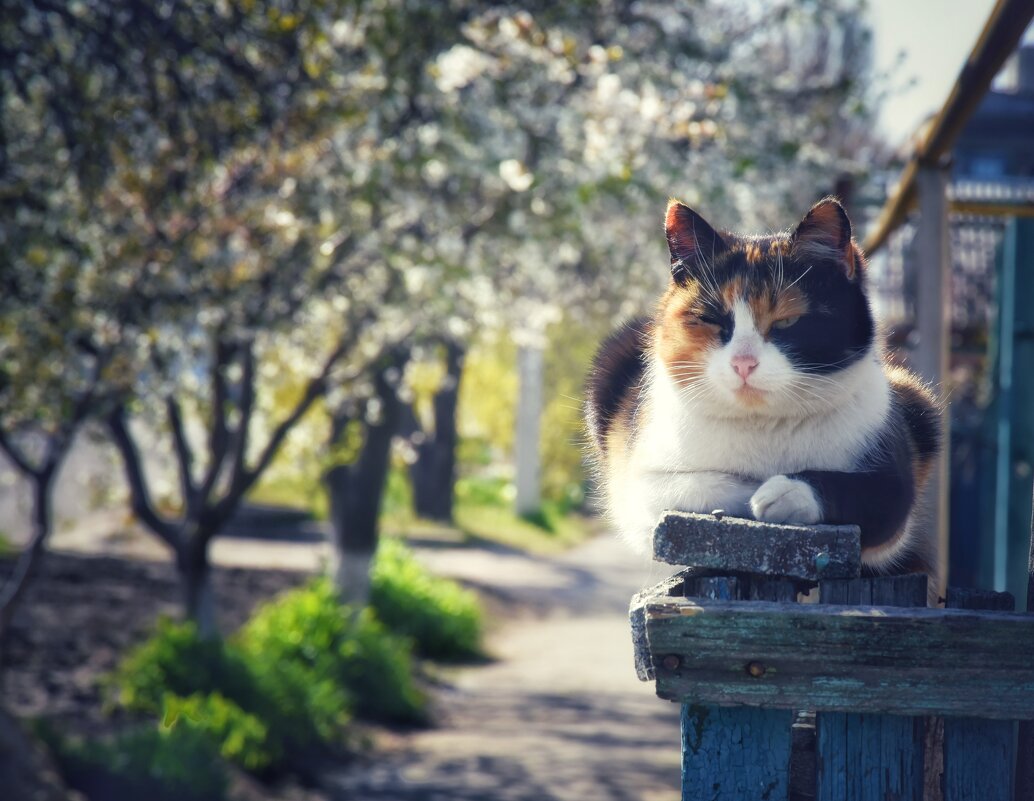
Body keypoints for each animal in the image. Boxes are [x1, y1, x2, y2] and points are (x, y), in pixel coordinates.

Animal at [587, 197, 943, 587]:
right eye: (712, 319)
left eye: (787, 321)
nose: (743, 363)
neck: (765, 424)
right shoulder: (640, 480)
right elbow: (702, 486)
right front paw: (756, 490)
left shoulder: (894, 476)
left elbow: (872, 495)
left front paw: (785, 490)